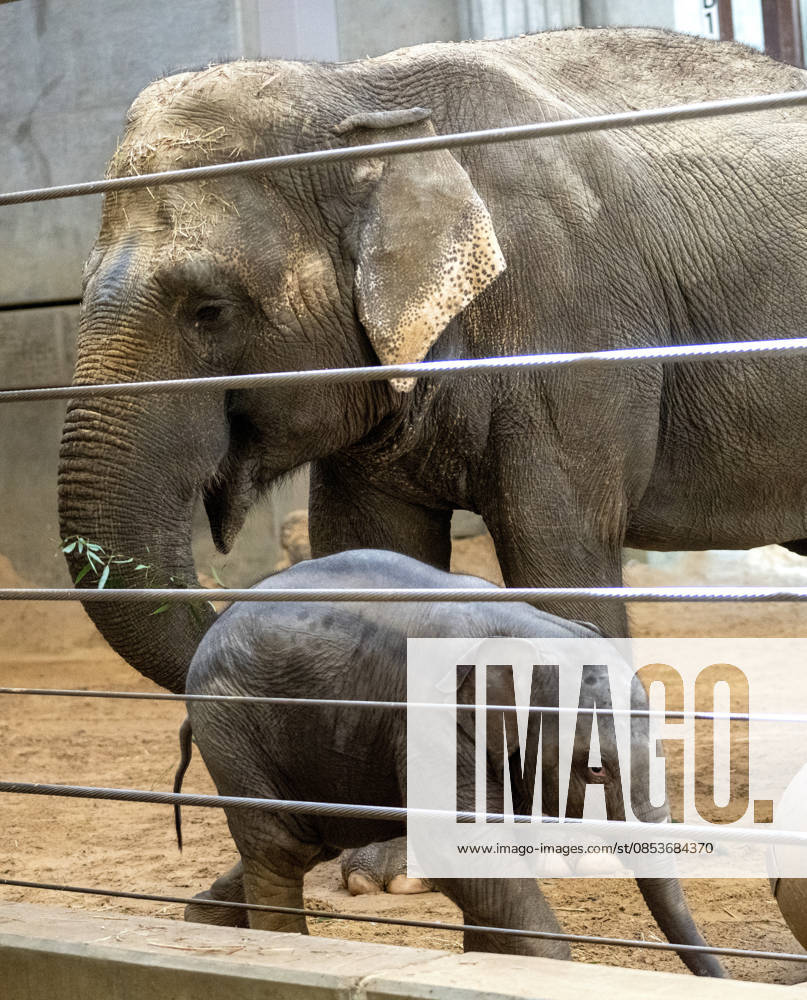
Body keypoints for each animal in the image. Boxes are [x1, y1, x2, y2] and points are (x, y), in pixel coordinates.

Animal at [174, 548, 725, 976]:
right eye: (594, 770)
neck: (526, 632)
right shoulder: (429, 718)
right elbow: (466, 850)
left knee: (308, 841)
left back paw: (200, 919)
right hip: (231, 721)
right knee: (280, 847)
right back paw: (276, 944)